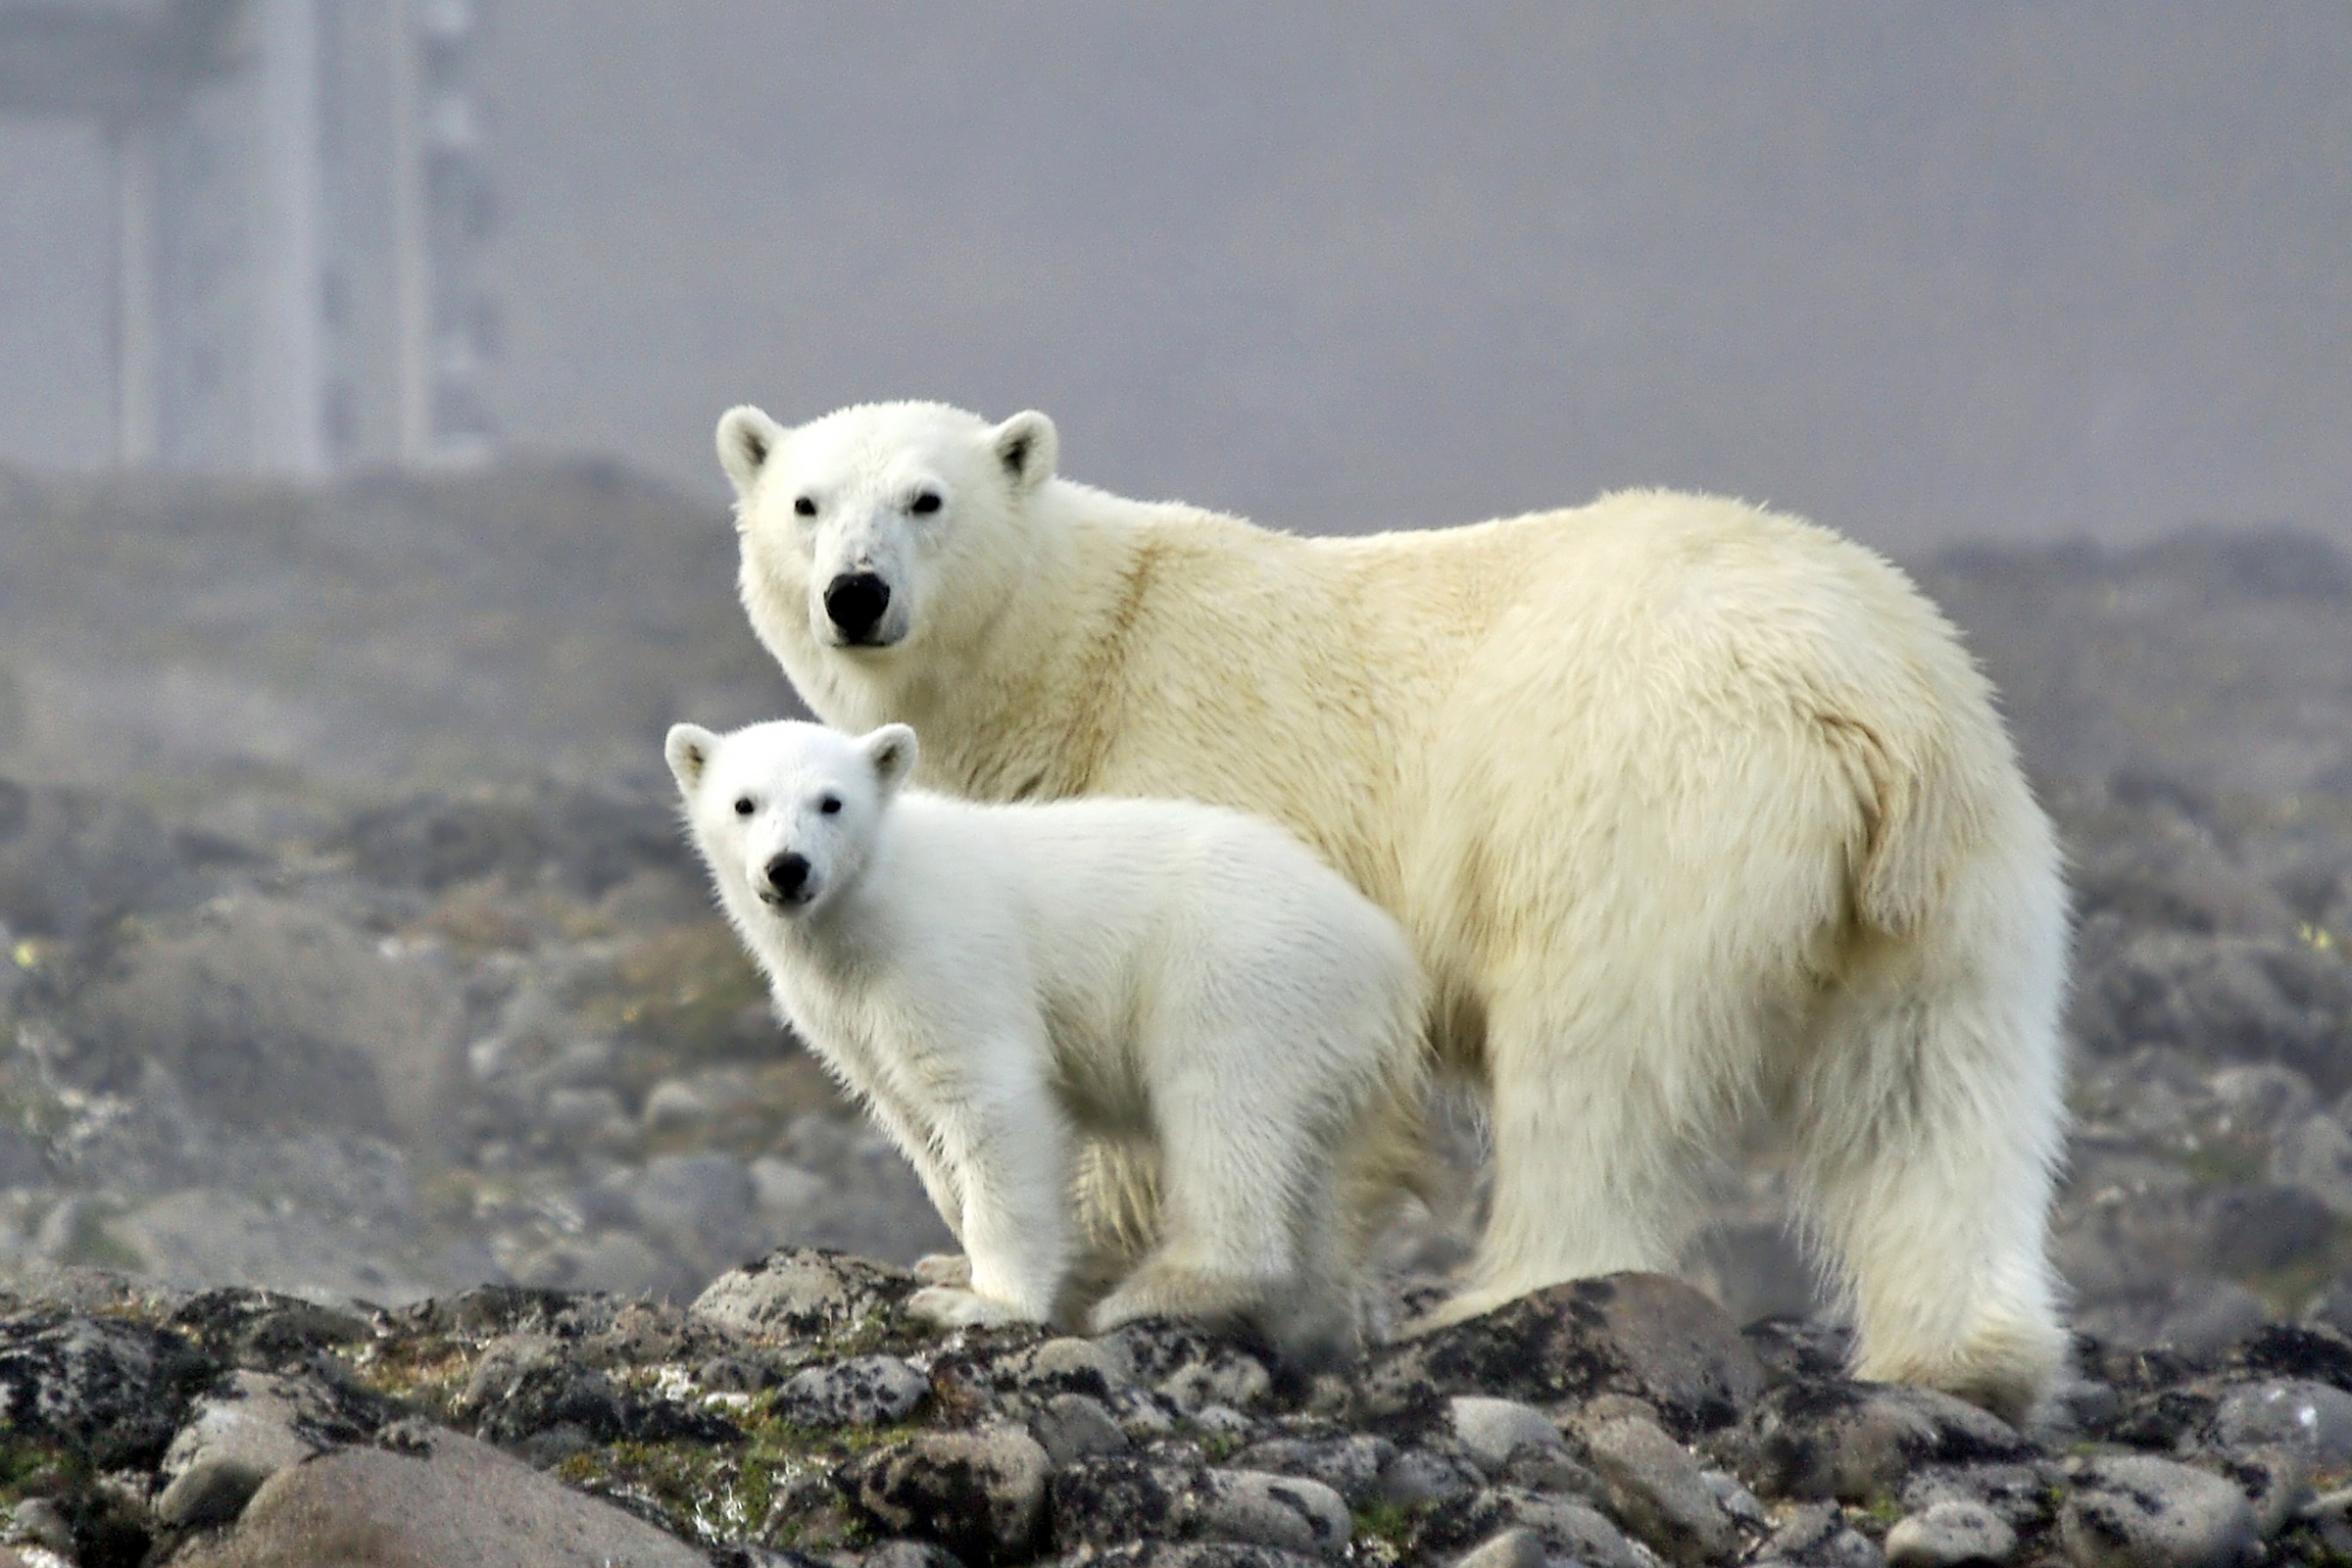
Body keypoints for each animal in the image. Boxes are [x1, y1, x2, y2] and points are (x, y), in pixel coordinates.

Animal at [672, 719, 1420, 1353]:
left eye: (831, 802)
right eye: (744, 804)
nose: (787, 867)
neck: (867, 906)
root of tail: (1387, 952)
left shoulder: (946, 958)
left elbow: (992, 1102)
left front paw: (984, 1302)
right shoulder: (843, 1012)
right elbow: (912, 1117)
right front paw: (950, 1263)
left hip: (1238, 973)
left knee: (1223, 1113)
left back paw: (1150, 1293)